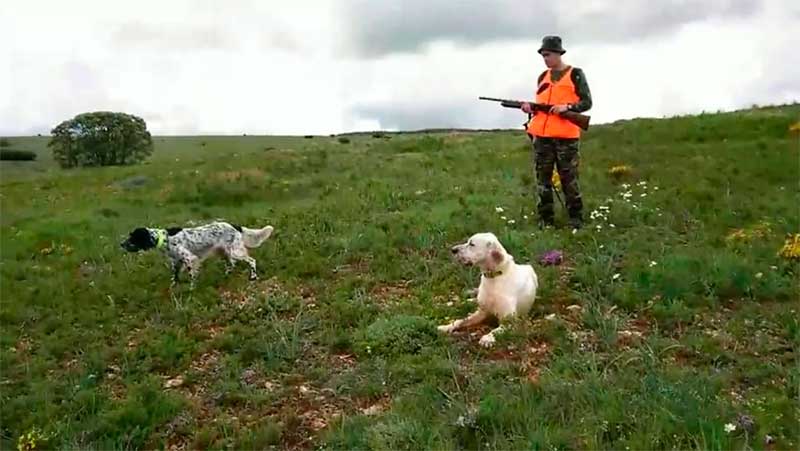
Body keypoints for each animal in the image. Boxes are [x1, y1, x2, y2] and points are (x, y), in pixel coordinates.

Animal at [120, 221, 274, 288]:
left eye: (132, 238)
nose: (121, 244)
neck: (164, 239)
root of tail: (235, 226)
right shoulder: (176, 261)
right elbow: (174, 276)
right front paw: (173, 287)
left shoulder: (189, 259)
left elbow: (191, 275)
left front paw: (191, 289)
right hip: (223, 251)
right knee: (231, 264)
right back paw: (226, 276)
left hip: (235, 251)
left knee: (251, 261)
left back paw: (253, 277)